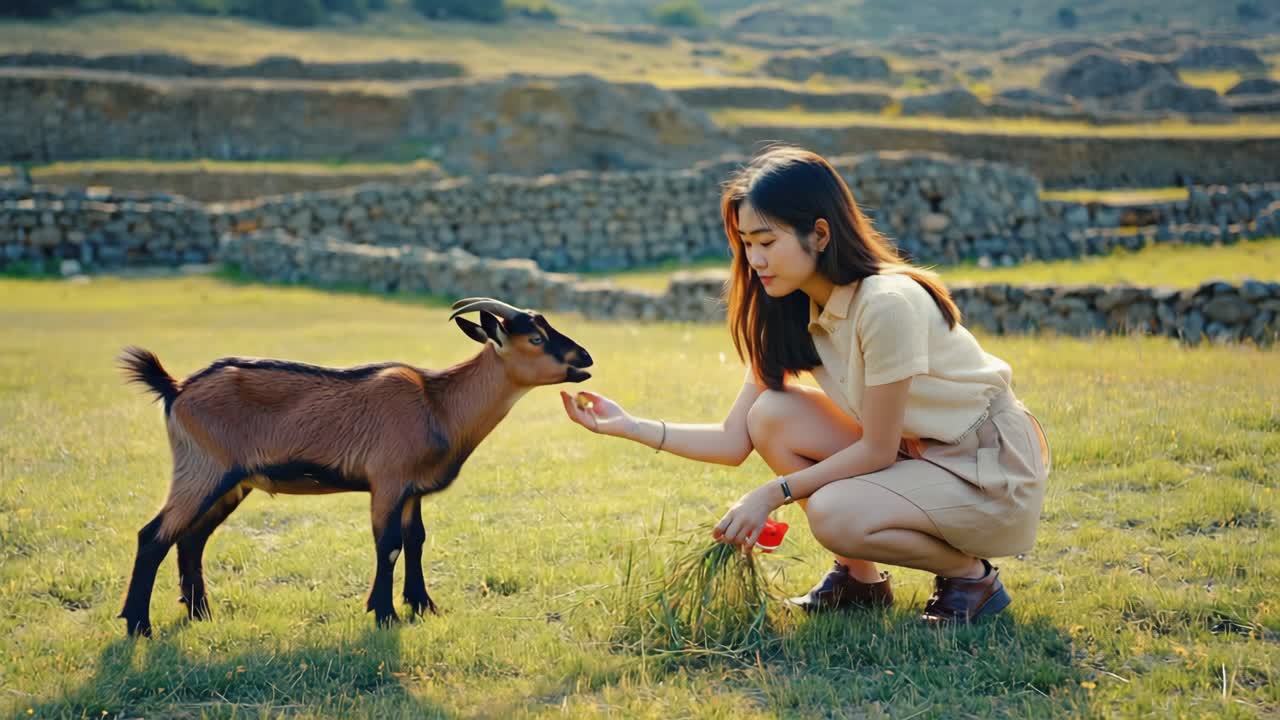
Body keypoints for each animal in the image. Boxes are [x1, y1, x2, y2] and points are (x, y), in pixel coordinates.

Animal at [116, 297, 593, 637]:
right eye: (535, 339)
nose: (585, 360)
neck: (438, 404)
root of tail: (176, 389)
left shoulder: (411, 490)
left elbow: (416, 540)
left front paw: (423, 605)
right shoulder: (388, 481)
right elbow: (389, 545)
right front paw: (384, 615)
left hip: (232, 481)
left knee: (191, 539)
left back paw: (200, 615)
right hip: (203, 469)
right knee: (154, 536)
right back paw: (139, 625)